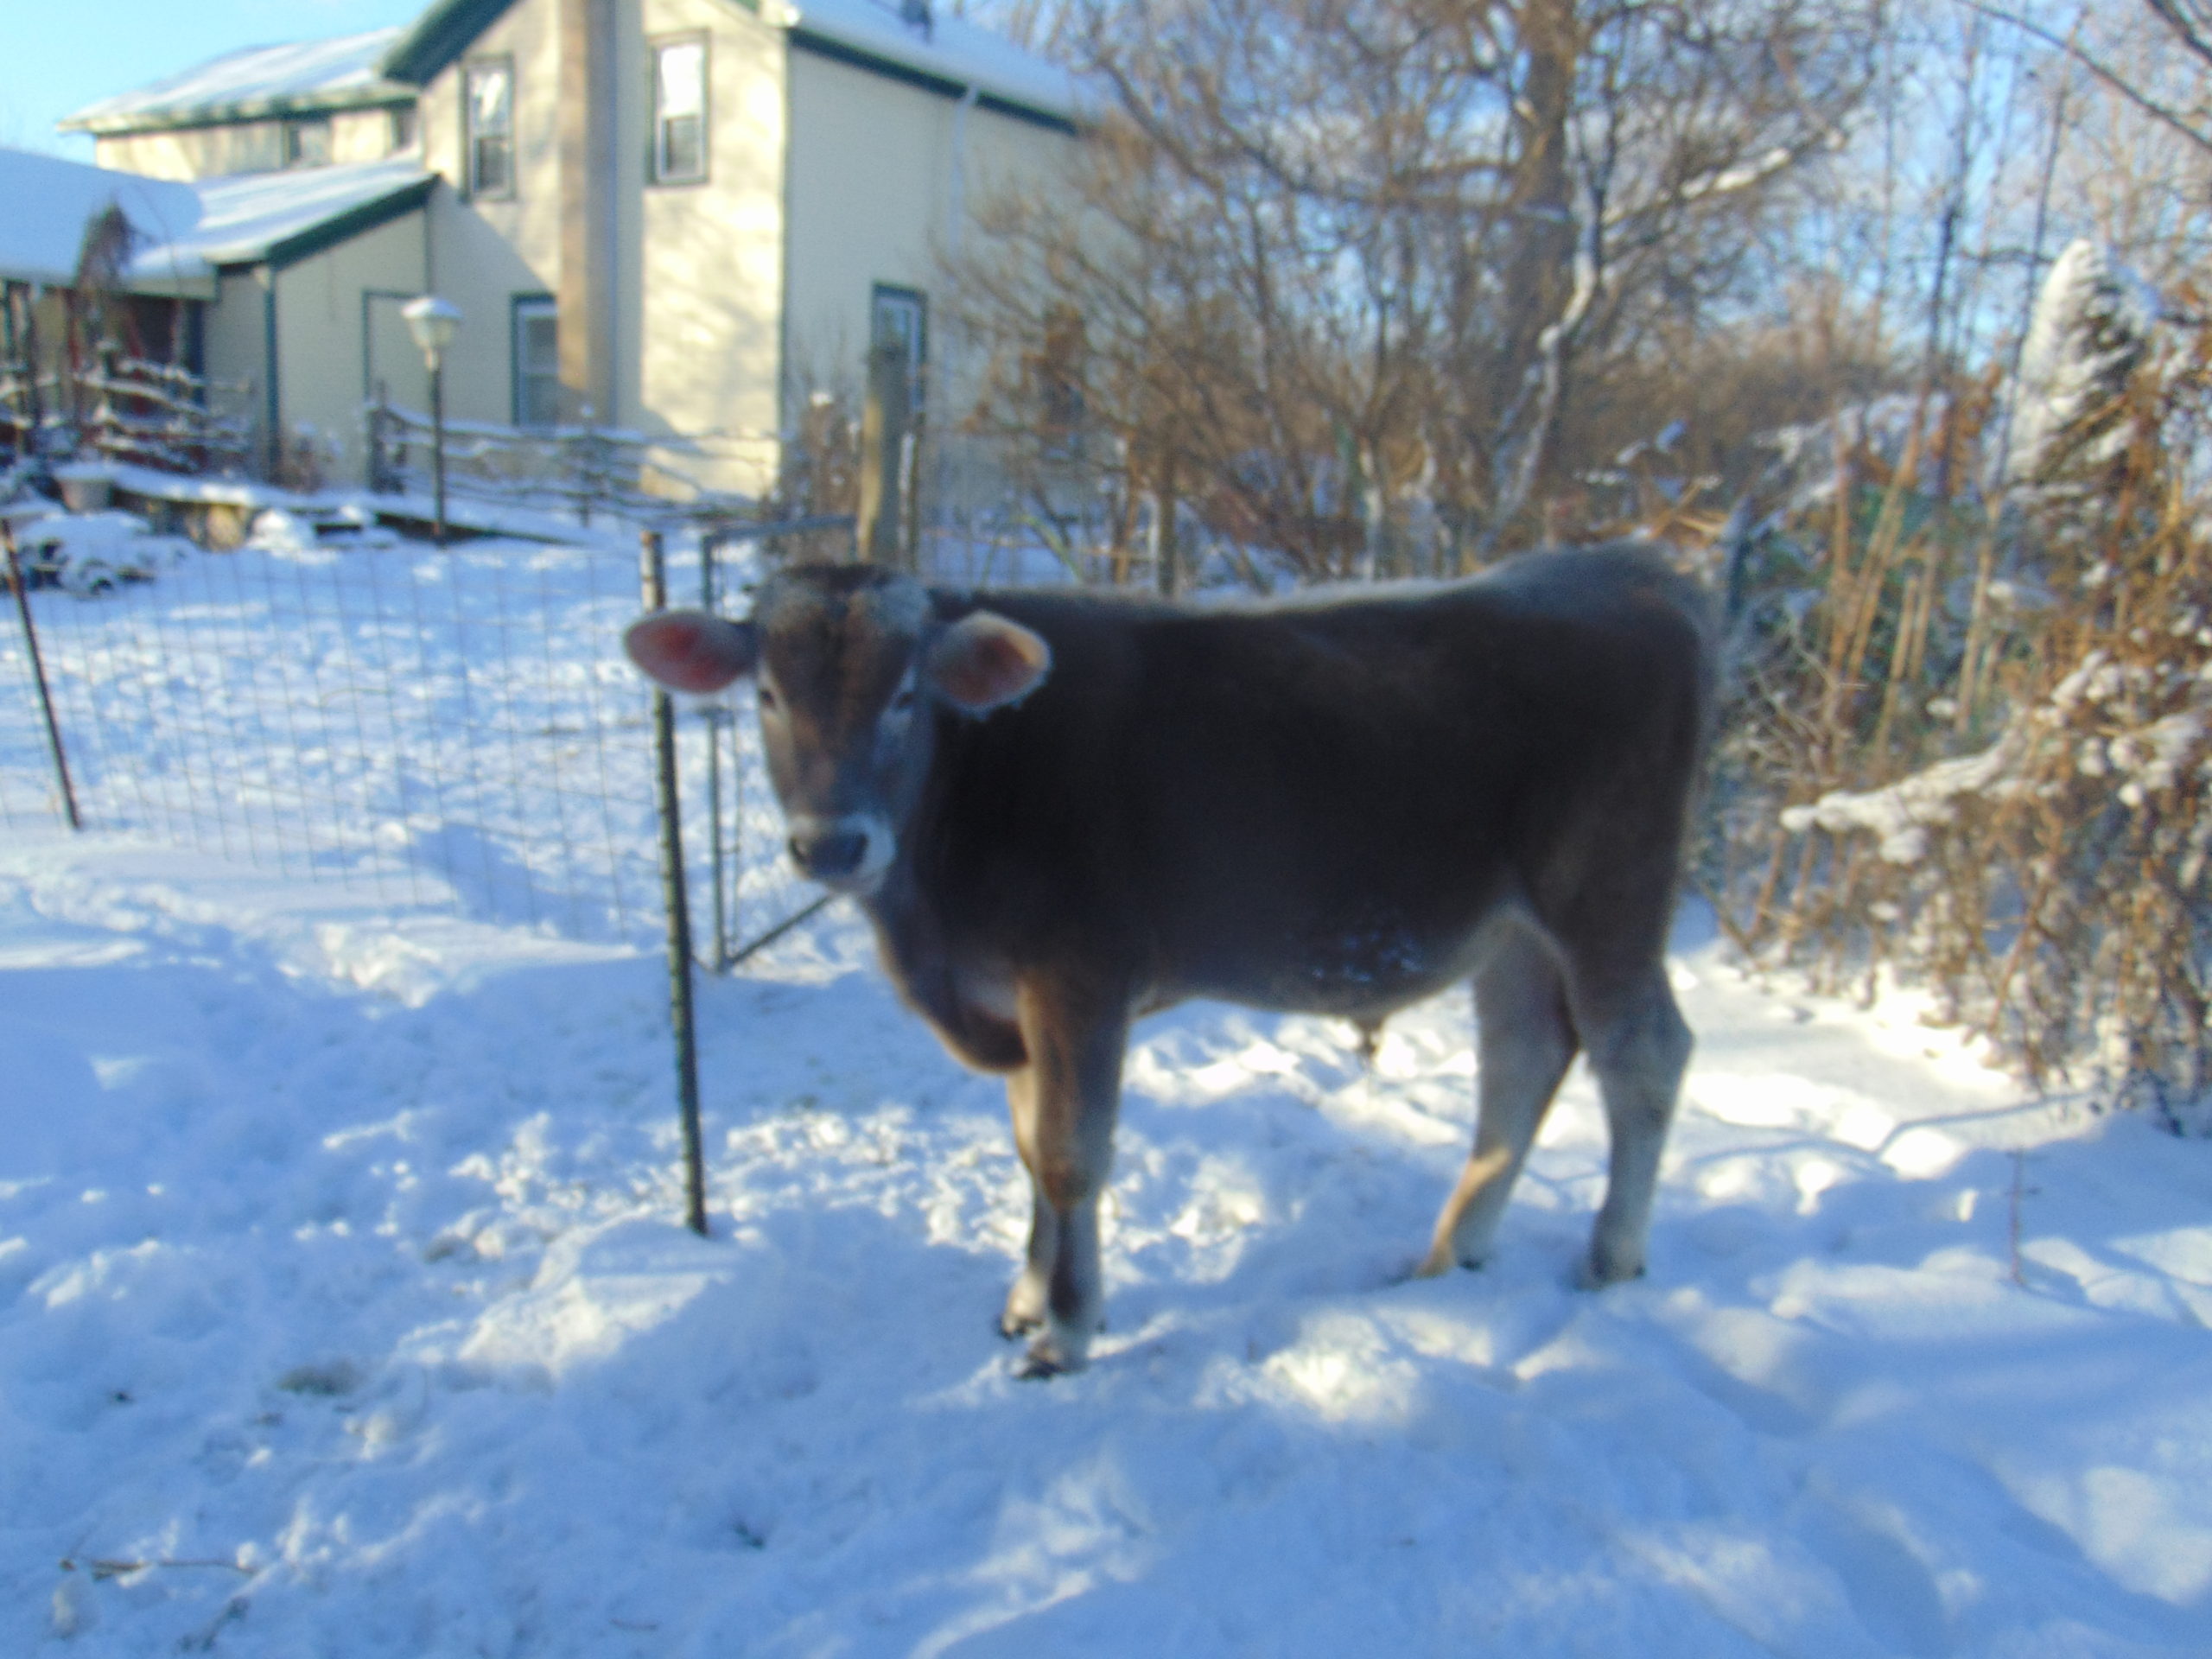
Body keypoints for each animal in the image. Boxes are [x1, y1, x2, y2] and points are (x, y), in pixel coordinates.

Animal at [632, 546, 1716, 1380]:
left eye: (906, 694)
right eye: (767, 694)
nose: (831, 845)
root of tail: (1620, 570)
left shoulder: (1077, 979)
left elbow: (1070, 1157)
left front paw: (1066, 1333)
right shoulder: (1013, 1002)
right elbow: (1030, 1148)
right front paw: (1028, 1298)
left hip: (1605, 899)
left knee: (1643, 1055)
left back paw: (1608, 1257)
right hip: (1511, 933)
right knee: (1523, 1059)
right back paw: (1452, 1256)